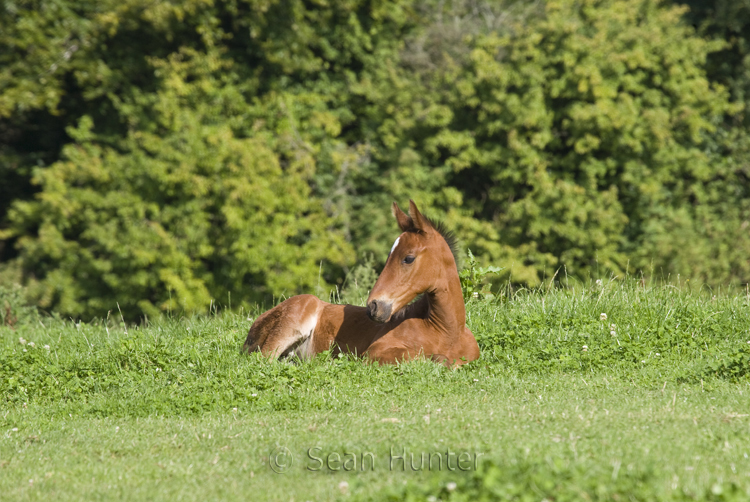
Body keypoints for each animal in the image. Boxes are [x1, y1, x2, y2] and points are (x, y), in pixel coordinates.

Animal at [244, 199, 484, 364]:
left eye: (408, 258)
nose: (373, 306)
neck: (447, 332)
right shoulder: (374, 354)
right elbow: (430, 357)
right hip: (298, 314)